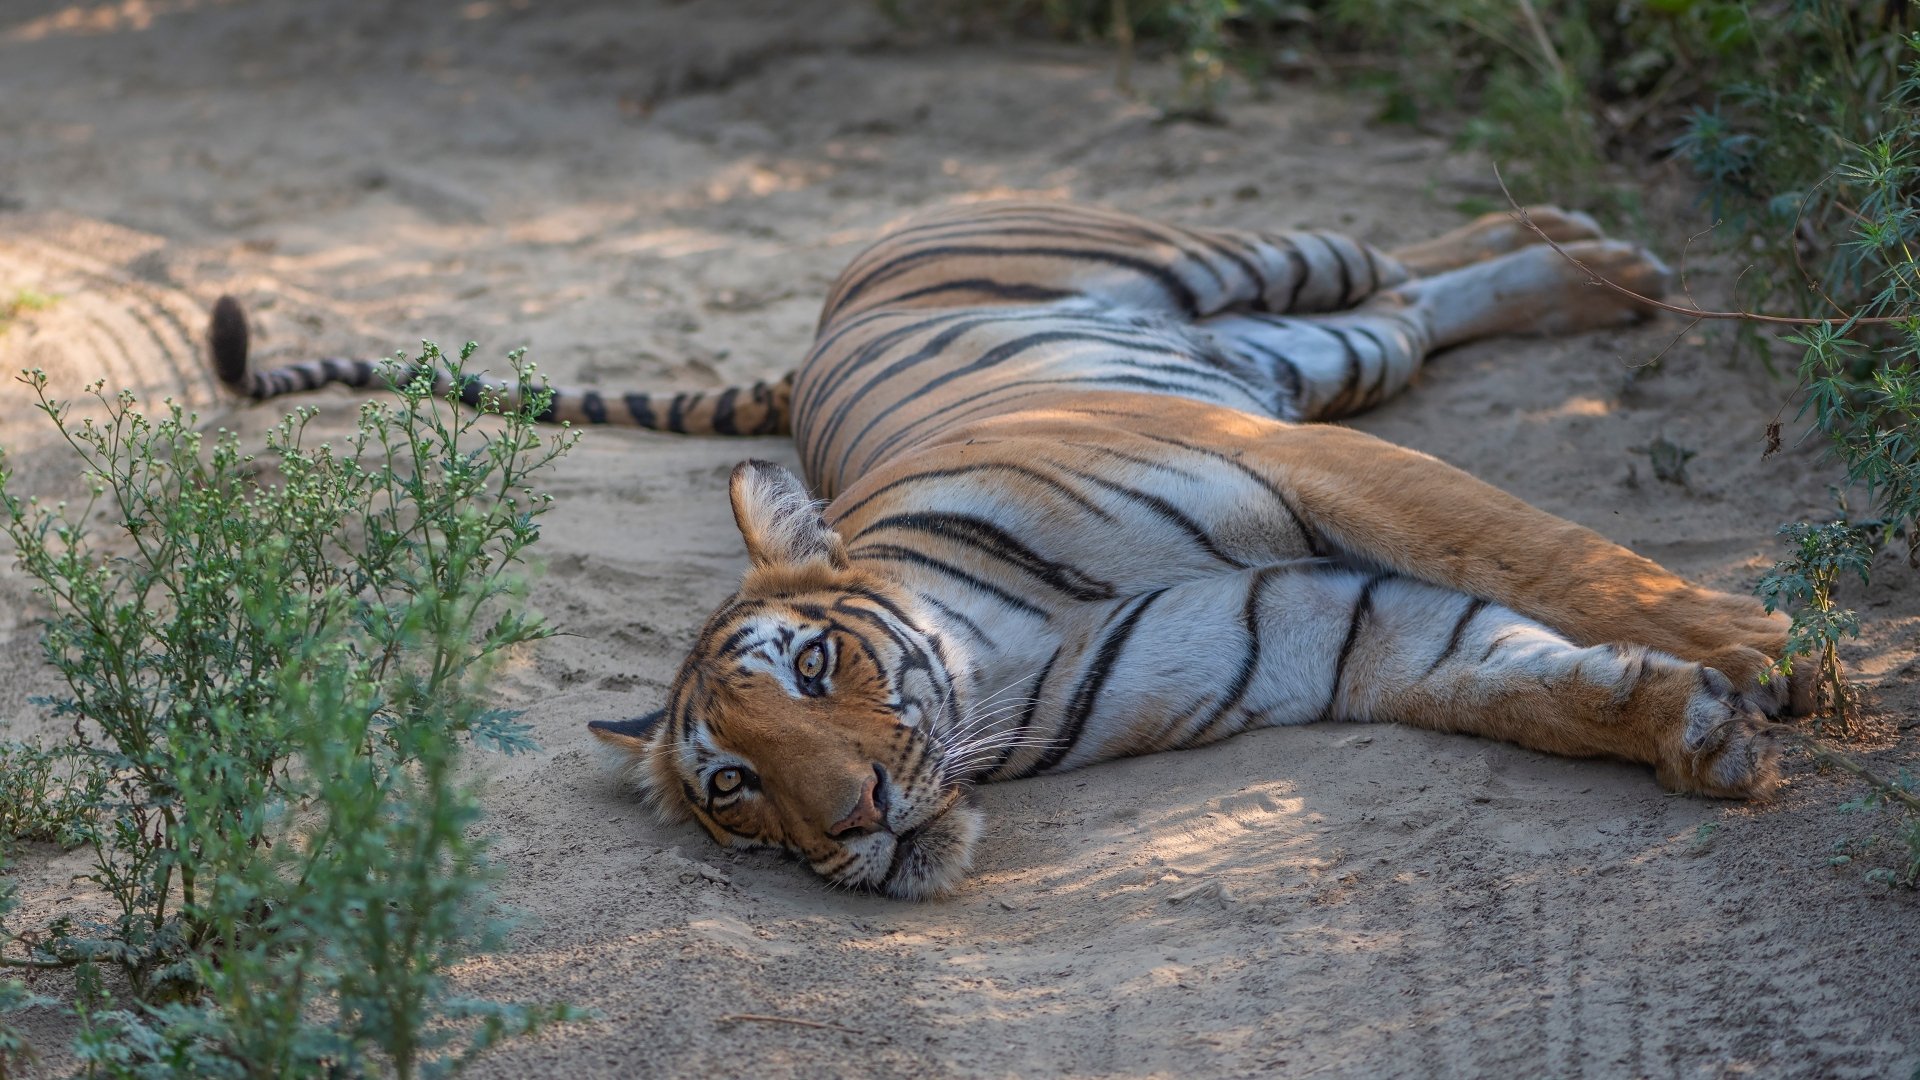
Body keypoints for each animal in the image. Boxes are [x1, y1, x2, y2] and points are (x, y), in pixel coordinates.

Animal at [208, 200, 1808, 900]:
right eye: (732, 789)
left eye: (814, 664)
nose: (855, 816)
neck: (1013, 658)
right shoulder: (1334, 632)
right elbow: (1519, 678)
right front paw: (1696, 728)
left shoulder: (1298, 464)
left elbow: (1539, 552)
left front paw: (1766, 648)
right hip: (1319, 349)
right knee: (1413, 306)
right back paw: (1599, 275)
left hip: (1237, 269)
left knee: (1404, 251)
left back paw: (1605, 259)